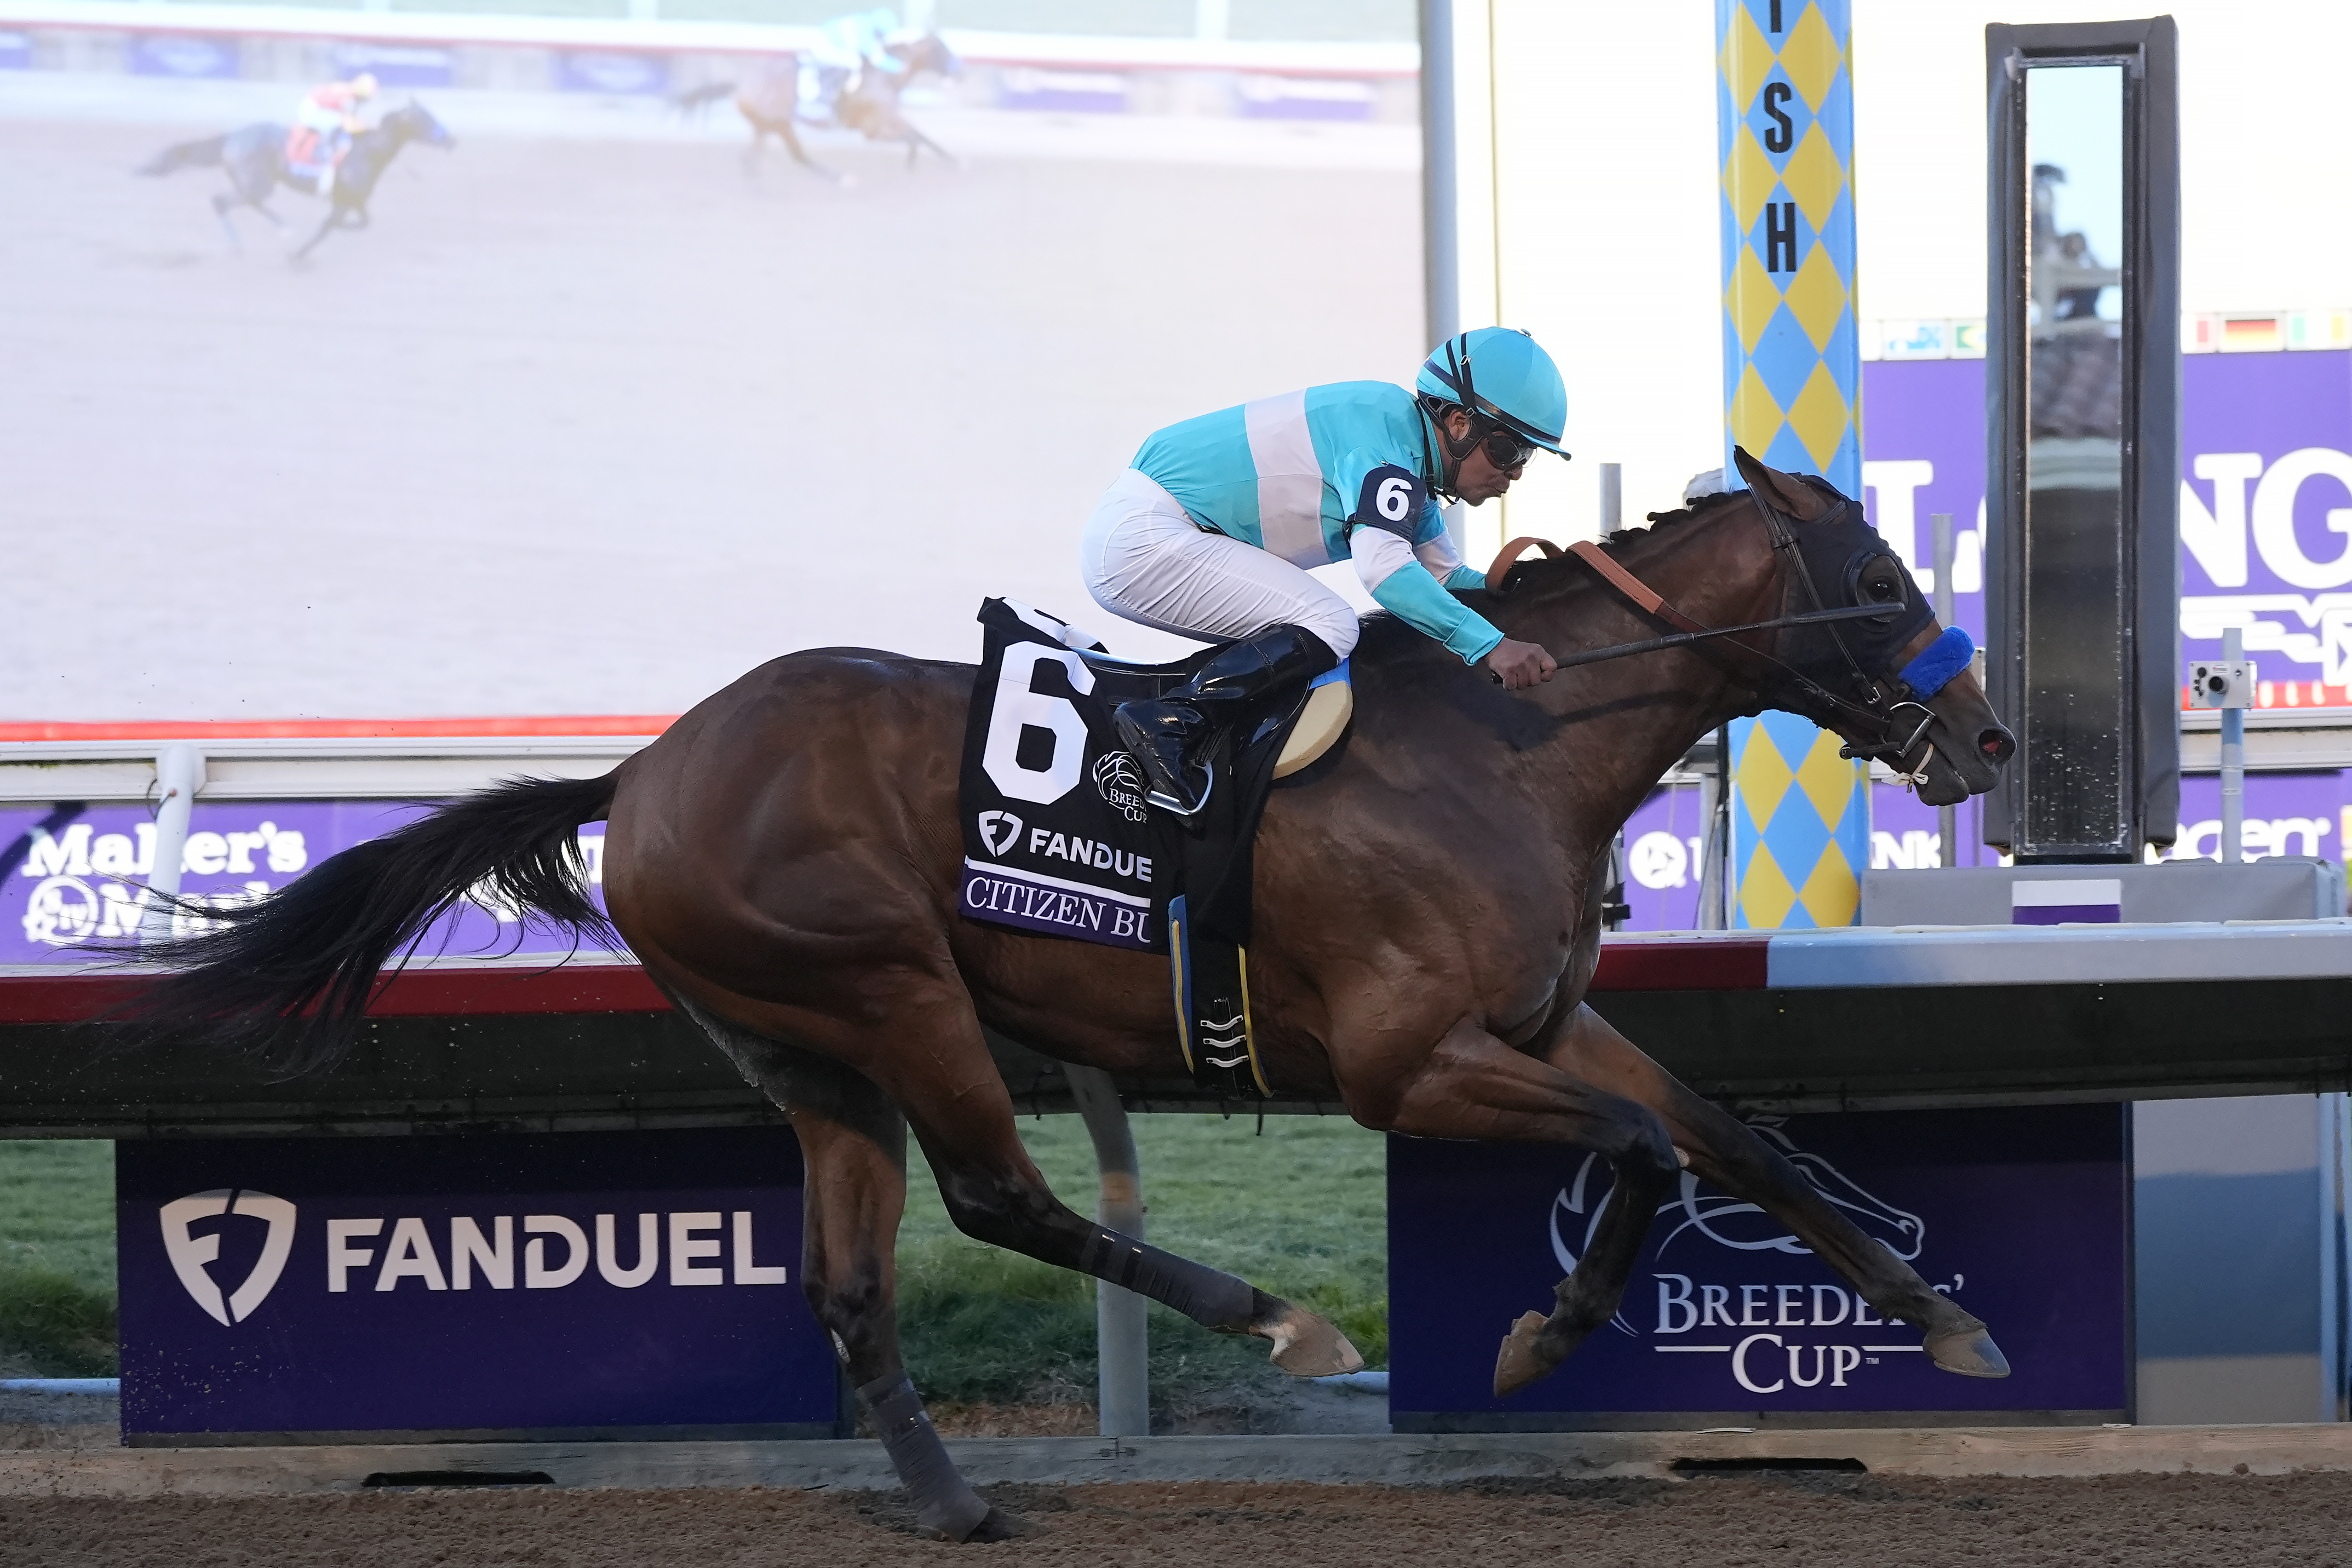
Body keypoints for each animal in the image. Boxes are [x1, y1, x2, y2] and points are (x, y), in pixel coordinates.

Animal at [129, 450, 2015, 1541]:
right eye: (1882, 579)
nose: (1987, 735)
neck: (1501, 745)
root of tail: (645, 769)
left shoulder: (1545, 1018)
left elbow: (1740, 1139)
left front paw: (1936, 1317)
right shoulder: (1409, 1062)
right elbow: (1639, 1146)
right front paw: (1543, 1331)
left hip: (805, 1049)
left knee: (847, 1271)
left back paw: (945, 1499)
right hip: (892, 987)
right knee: (1001, 1196)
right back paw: (1278, 1319)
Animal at [137, 102, 455, 257]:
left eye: (431, 115)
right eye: (424, 119)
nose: (451, 140)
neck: (368, 151)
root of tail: (232, 137)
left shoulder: (356, 201)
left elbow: (361, 224)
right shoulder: (342, 202)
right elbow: (327, 228)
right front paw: (297, 256)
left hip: (256, 184)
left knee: (244, 203)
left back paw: (279, 228)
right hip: (258, 183)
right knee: (222, 202)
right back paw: (245, 242)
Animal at [675, 32, 960, 181]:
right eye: (942, 50)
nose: (962, 73)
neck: (883, 76)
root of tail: (742, 83)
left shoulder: (889, 119)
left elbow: (920, 135)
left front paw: (954, 160)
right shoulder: (872, 130)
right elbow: (913, 138)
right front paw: (911, 164)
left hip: (765, 126)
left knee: (752, 158)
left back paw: (761, 193)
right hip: (780, 124)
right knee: (798, 156)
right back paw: (842, 179)